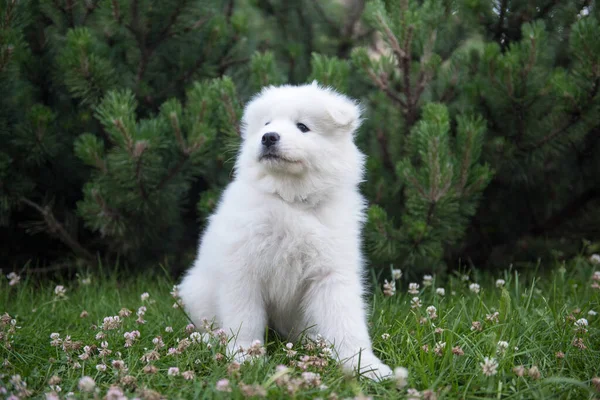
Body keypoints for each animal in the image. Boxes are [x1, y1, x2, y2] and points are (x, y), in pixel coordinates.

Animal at [178, 82, 394, 382]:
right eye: (267, 124)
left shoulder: (332, 273)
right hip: (197, 291)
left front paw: (365, 366)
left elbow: (346, 322)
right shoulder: (243, 270)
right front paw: (245, 358)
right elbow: (245, 320)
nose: (268, 137)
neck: (291, 200)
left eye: (302, 127)